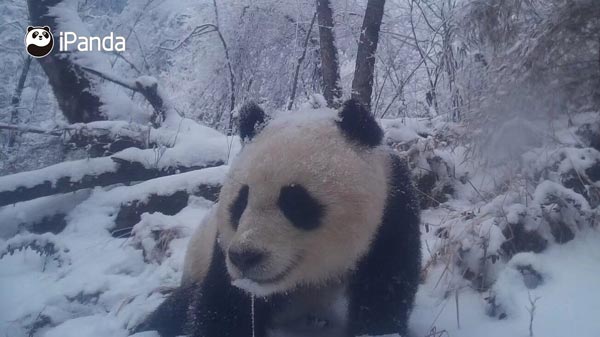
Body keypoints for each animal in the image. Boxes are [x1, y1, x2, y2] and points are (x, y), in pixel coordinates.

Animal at [139, 100, 422, 336]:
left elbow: (384, 292)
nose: (245, 257)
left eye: (294, 202)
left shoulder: (391, 217)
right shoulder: (224, 248)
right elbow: (226, 304)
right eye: (240, 202)